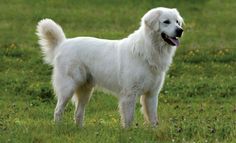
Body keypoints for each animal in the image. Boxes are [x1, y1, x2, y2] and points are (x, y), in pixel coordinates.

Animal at [36, 7, 184, 127]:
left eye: (177, 22)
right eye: (166, 22)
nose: (180, 30)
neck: (148, 50)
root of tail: (63, 43)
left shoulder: (152, 94)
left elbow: (153, 119)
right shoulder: (129, 94)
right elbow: (129, 119)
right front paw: (129, 134)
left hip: (86, 90)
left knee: (78, 113)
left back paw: (80, 129)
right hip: (68, 87)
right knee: (58, 110)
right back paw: (58, 128)